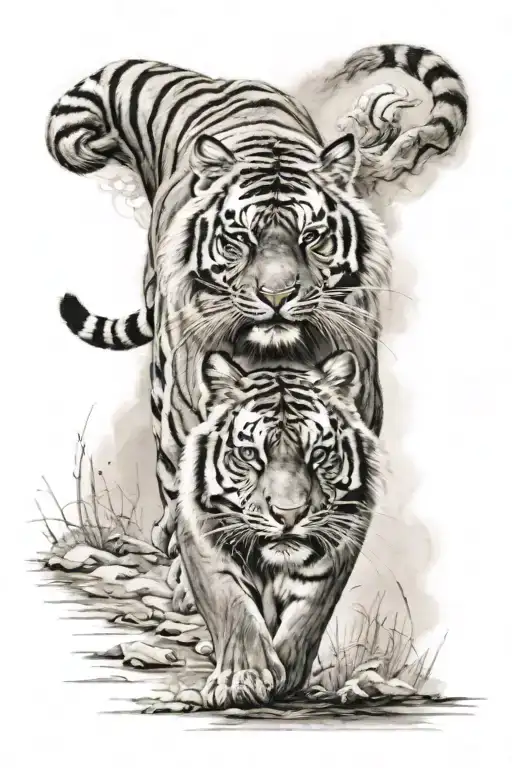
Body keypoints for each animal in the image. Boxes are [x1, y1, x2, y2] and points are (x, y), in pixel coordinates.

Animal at [46, 44, 467, 592]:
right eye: (239, 239)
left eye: (313, 236)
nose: (277, 294)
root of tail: (211, 83)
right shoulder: (190, 414)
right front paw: (197, 584)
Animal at [177, 348, 380, 707]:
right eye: (248, 453)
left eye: (319, 454)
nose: (288, 514)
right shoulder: (203, 536)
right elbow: (232, 605)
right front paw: (241, 678)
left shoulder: (340, 542)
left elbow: (307, 616)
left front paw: (287, 674)